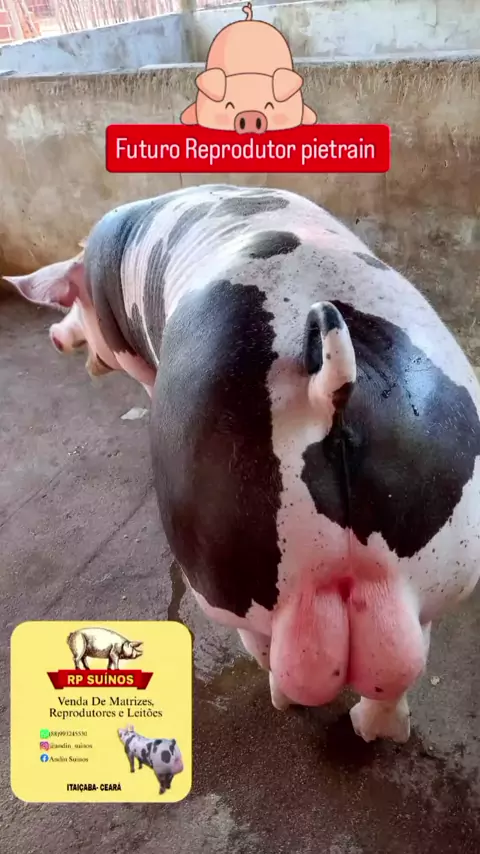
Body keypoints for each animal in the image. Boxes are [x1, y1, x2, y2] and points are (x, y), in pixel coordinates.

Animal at [6, 184, 480, 744]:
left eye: (74, 302)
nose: (55, 336)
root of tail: (327, 383)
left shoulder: (133, 356)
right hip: (440, 546)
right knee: (400, 666)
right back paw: (376, 732)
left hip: (219, 543)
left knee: (268, 648)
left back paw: (277, 695)